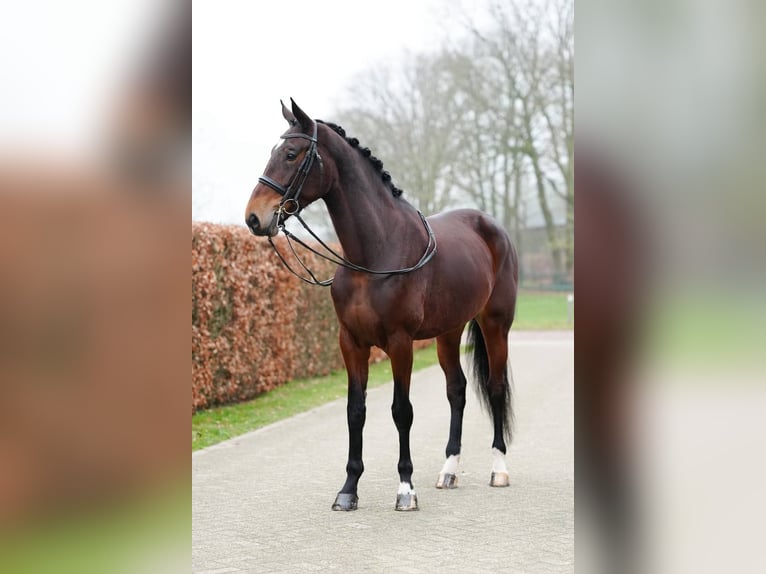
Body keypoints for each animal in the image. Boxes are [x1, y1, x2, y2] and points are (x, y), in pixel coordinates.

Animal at [245, 99, 518, 511]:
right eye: (274, 152)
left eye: (291, 154)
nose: (254, 218)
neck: (375, 253)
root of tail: (492, 226)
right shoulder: (351, 343)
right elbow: (355, 411)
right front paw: (348, 489)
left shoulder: (400, 343)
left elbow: (401, 411)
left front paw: (405, 489)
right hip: (448, 331)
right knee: (456, 390)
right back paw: (448, 471)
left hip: (495, 324)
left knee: (496, 386)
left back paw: (499, 469)